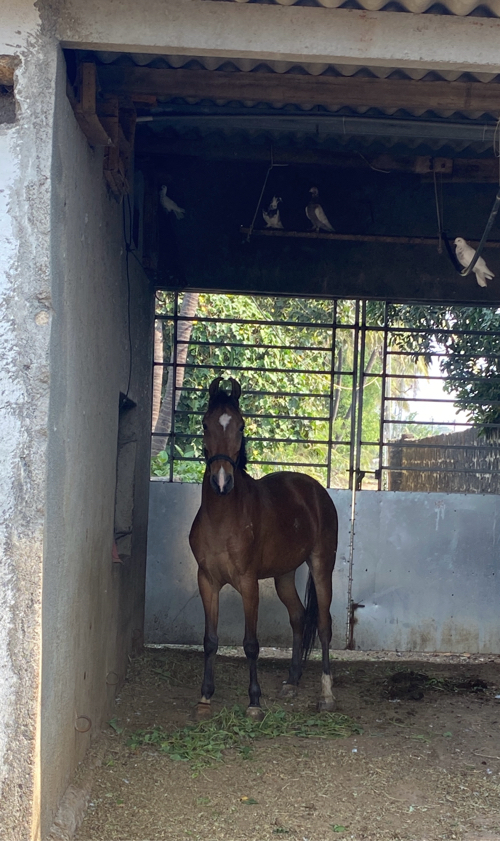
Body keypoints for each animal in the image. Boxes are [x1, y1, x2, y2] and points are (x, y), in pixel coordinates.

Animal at [188, 378, 340, 720]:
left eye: (241, 425)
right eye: (205, 423)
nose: (221, 482)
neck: (223, 518)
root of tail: (316, 491)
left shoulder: (248, 584)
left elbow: (251, 643)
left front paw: (254, 701)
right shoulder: (207, 581)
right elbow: (210, 639)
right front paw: (204, 696)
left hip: (322, 566)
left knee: (323, 624)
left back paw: (326, 694)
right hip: (284, 575)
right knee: (298, 617)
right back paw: (292, 681)